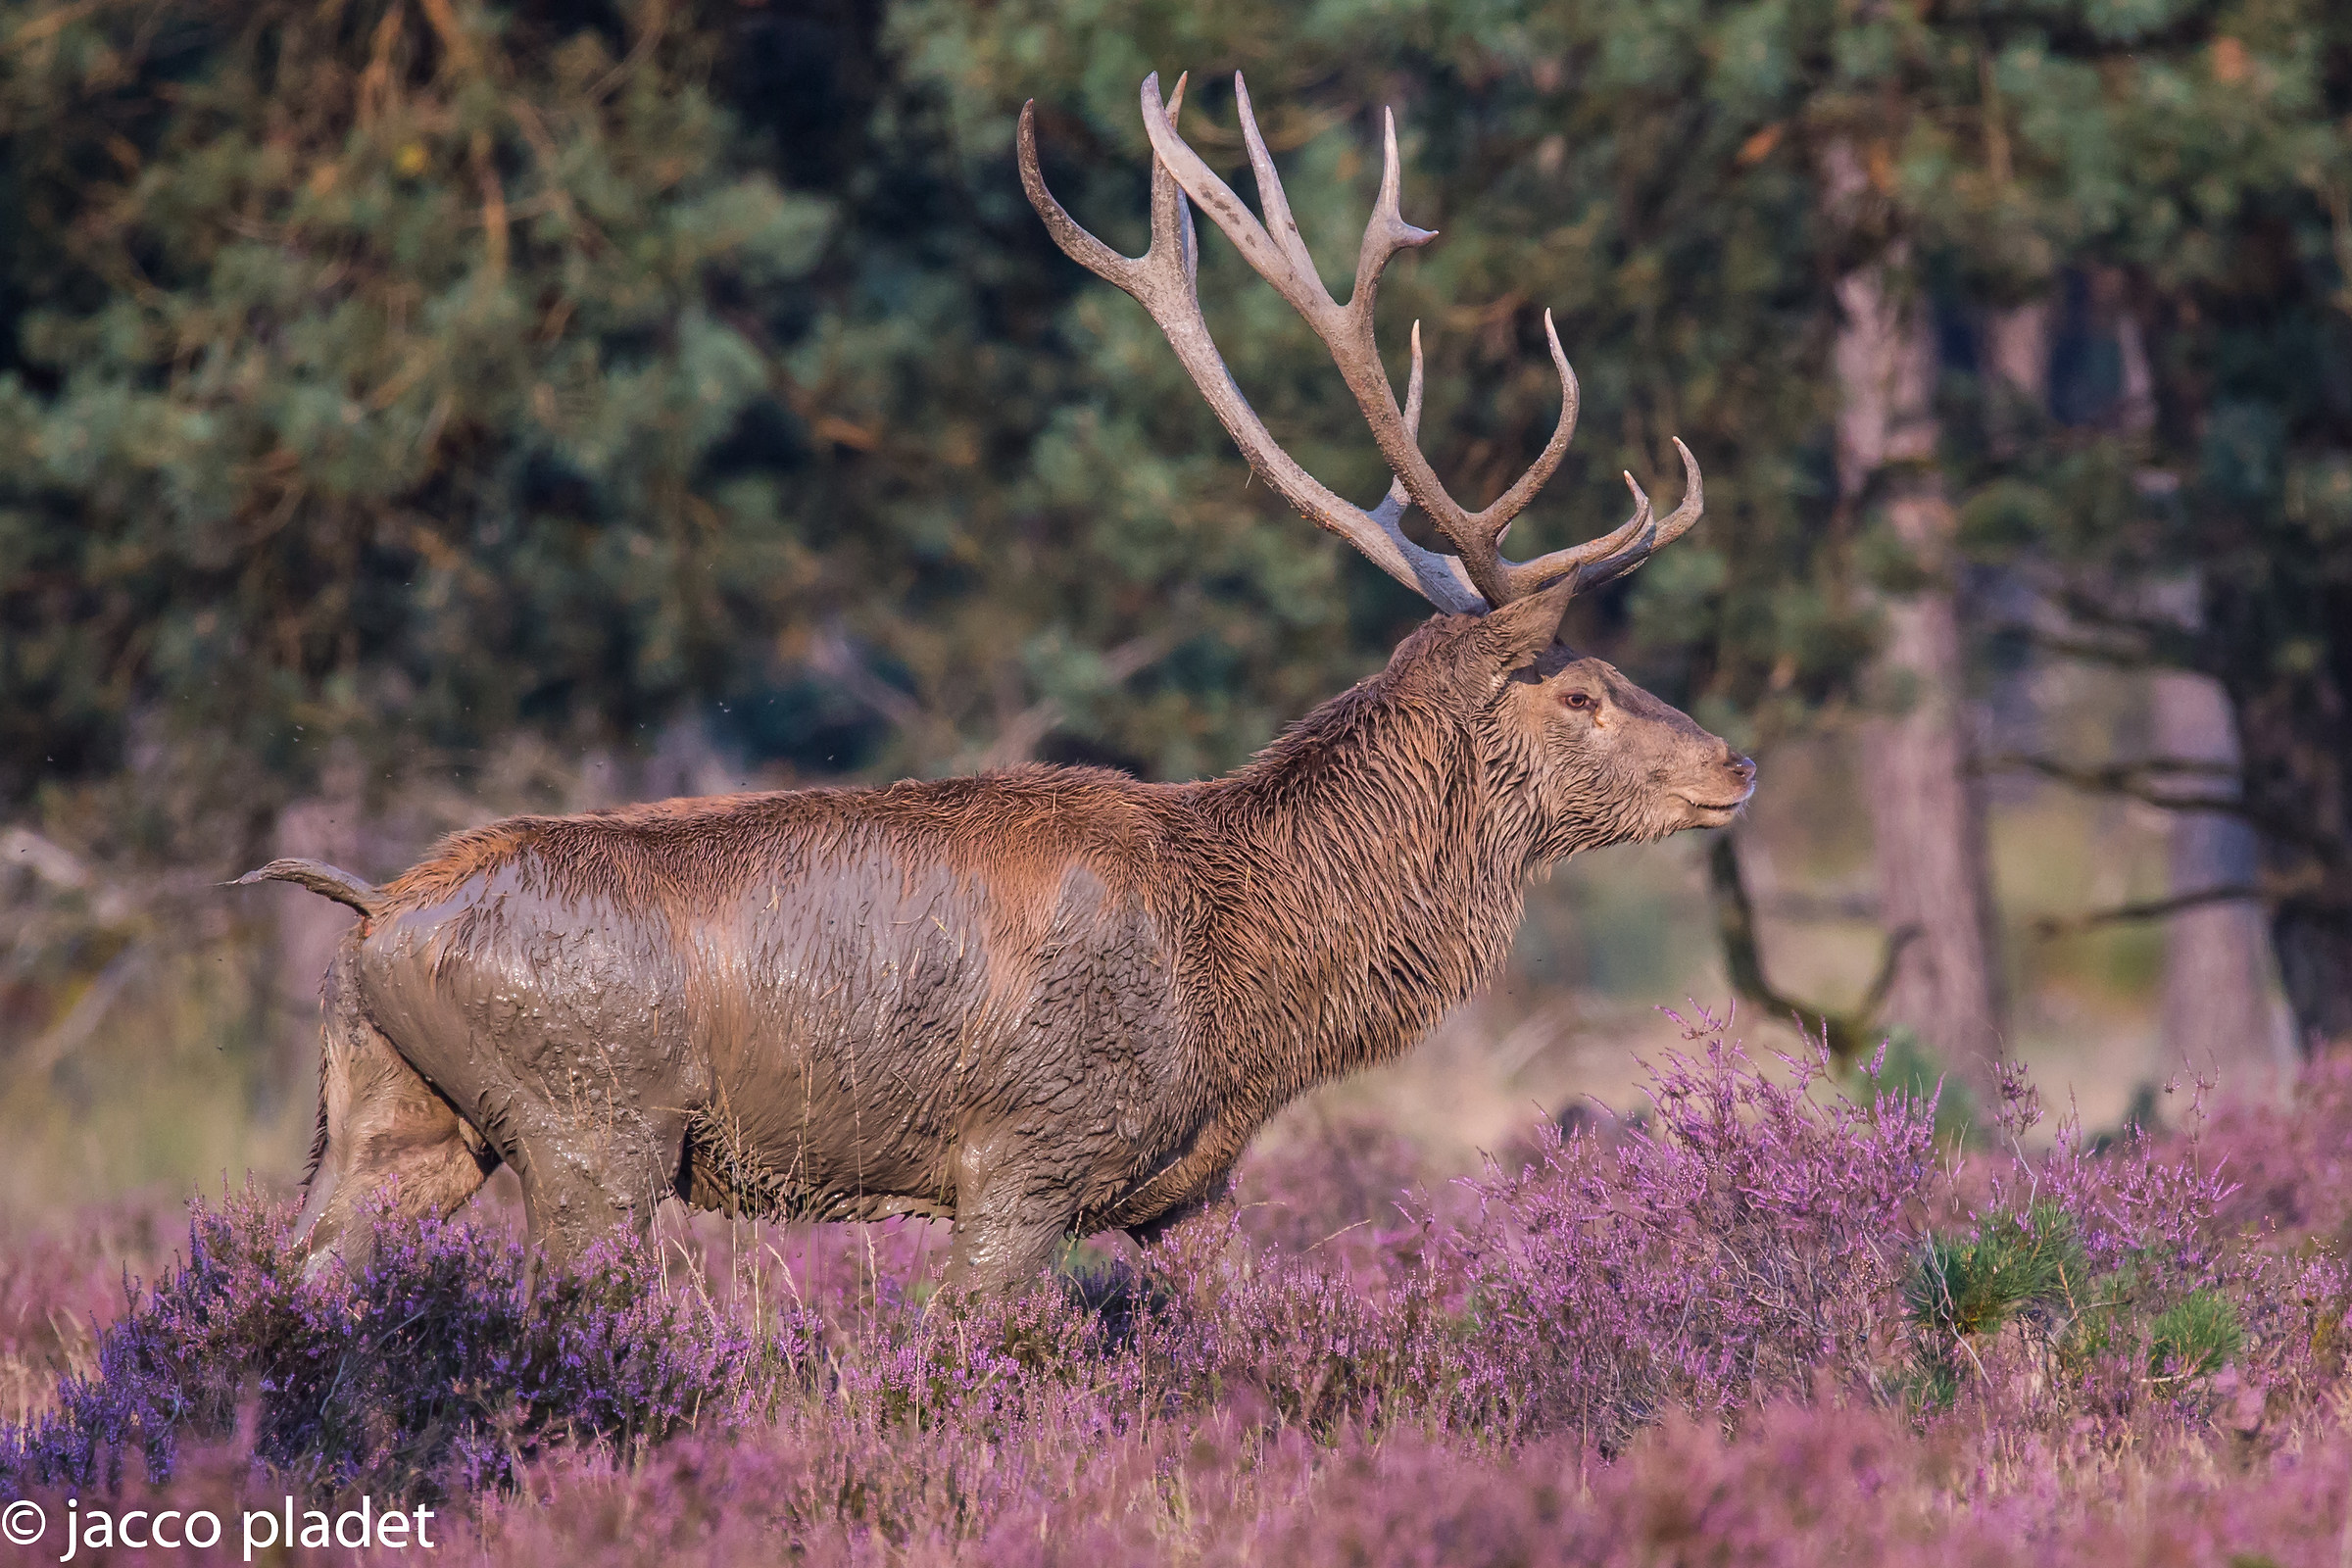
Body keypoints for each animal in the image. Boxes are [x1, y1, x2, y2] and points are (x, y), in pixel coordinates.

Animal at [240, 73, 1754, 1297]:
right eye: (1581, 693)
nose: (1734, 763)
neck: (1246, 993)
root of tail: (374, 916)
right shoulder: (1026, 1160)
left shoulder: (1180, 1191)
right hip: (592, 1131)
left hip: (387, 1121)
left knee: (293, 1280)